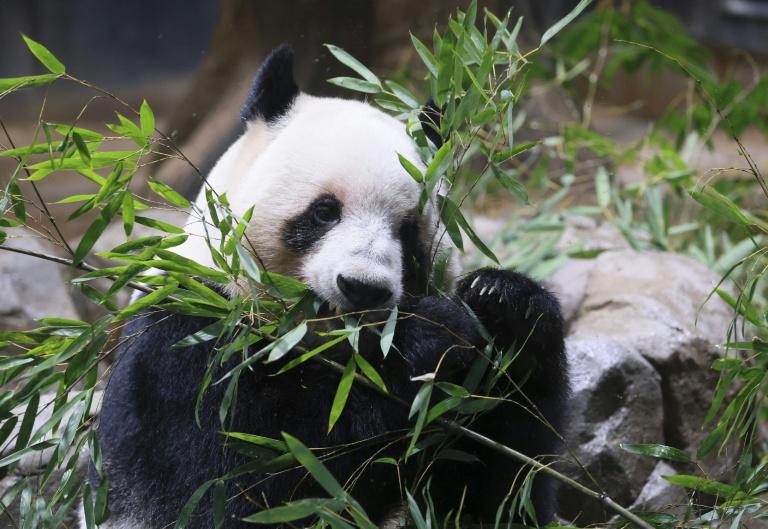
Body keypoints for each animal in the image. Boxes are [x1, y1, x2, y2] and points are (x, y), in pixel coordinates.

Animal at [90, 45, 569, 529]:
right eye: (324, 212)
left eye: (407, 231)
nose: (362, 288)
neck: (323, 345)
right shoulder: (185, 340)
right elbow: (240, 478)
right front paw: (428, 337)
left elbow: (496, 487)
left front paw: (506, 304)